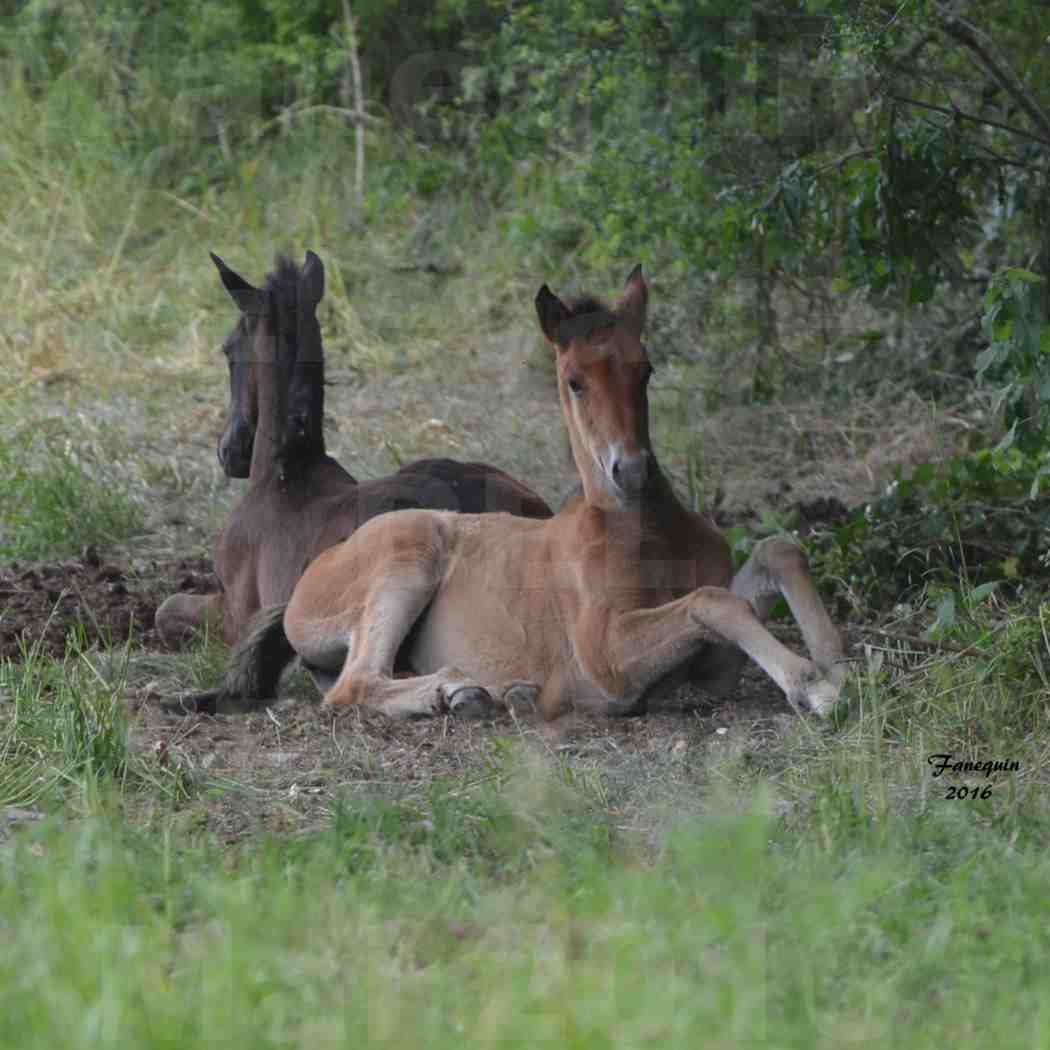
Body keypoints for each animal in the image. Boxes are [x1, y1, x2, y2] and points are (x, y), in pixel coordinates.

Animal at [275, 266, 848, 722]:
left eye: (645, 369)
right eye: (574, 381)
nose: (631, 470)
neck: (645, 529)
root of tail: (311, 574)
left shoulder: (710, 664)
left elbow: (773, 556)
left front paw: (837, 665)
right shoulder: (607, 657)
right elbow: (712, 601)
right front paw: (814, 685)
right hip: (407, 557)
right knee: (354, 682)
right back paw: (462, 689)